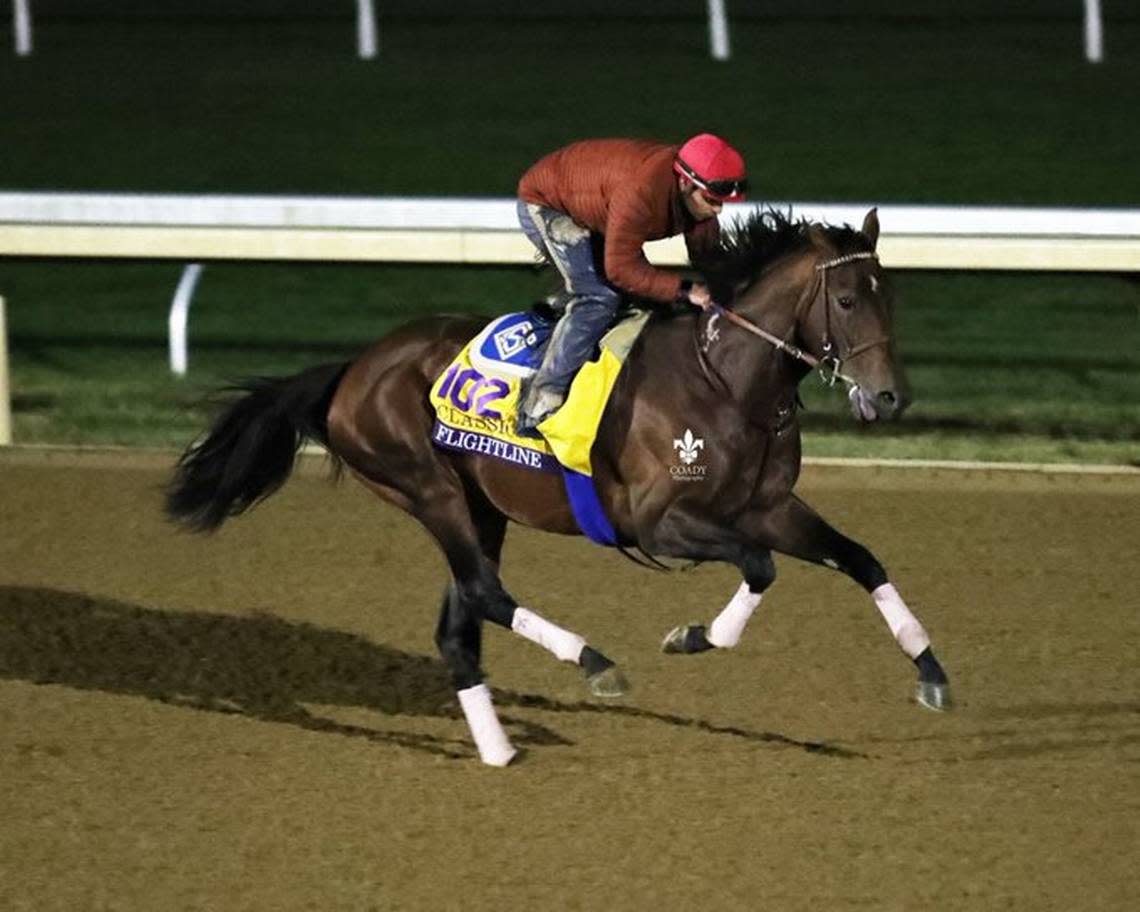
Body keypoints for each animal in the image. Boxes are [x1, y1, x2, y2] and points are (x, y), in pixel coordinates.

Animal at [166, 208, 953, 770]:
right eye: (846, 299)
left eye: (891, 297)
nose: (890, 397)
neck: (726, 381)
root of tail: (351, 369)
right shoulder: (657, 522)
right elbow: (761, 567)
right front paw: (694, 636)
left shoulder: (767, 507)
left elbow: (860, 558)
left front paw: (932, 671)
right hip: (426, 488)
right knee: (484, 594)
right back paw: (593, 663)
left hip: (480, 506)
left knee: (458, 625)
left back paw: (499, 749)